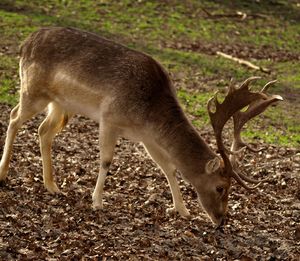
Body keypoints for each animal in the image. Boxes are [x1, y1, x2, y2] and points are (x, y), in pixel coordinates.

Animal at [0, 26, 282, 225]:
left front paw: (182, 210)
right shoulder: (109, 118)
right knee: (13, 117)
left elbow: (169, 167)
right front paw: (97, 201)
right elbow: (106, 161)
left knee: (43, 131)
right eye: (220, 186)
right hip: (33, 90)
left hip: (61, 105)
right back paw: (3, 173)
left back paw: (52, 186)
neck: (148, 111)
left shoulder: (147, 137)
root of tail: (25, 43)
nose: (222, 220)